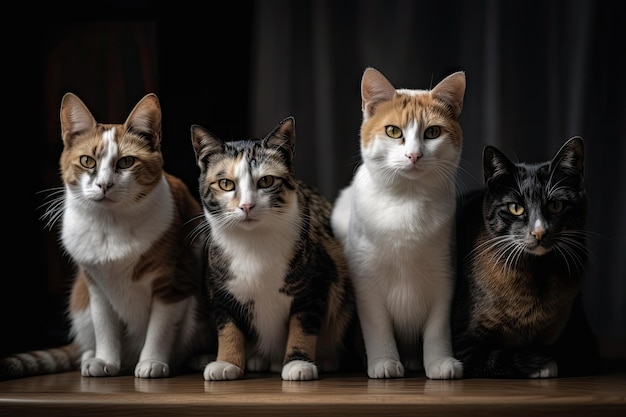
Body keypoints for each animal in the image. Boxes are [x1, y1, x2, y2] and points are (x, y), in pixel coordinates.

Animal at [190, 114, 356, 380]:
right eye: (225, 184)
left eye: (266, 181)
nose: (246, 206)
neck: (253, 243)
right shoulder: (220, 288)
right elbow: (227, 325)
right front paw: (226, 362)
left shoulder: (316, 282)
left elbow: (303, 325)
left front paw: (298, 363)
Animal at [330, 66, 466, 378]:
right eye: (393, 131)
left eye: (432, 132)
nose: (414, 155)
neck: (407, 202)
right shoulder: (365, 282)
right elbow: (378, 328)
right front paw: (384, 362)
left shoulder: (444, 277)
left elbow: (438, 328)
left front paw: (440, 362)